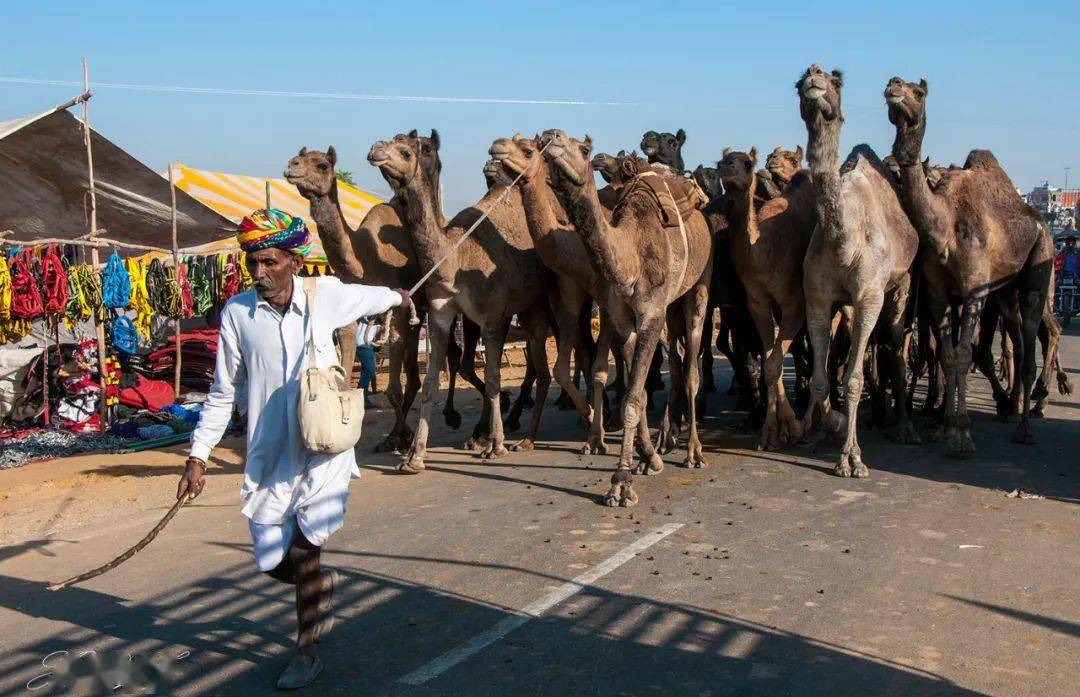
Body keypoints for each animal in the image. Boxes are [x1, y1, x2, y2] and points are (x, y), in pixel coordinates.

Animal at [369, 129, 557, 473]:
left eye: (408, 151)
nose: (375, 149)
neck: (454, 258)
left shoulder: (493, 318)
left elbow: (494, 379)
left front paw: (495, 445)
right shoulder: (442, 315)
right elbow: (431, 384)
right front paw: (415, 456)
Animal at [721, 148, 812, 451]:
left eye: (748, 163)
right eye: (722, 159)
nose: (725, 166)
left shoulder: (794, 303)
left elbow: (775, 361)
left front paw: (793, 426)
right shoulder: (757, 303)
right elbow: (770, 362)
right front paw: (773, 431)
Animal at [794, 63, 920, 477]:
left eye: (837, 82)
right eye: (798, 83)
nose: (814, 74)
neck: (843, 241)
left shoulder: (869, 296)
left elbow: (852, 378)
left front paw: (852, 459)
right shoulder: (817, 298)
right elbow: (821, 380)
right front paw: (828, 424)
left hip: (900, 286)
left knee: (895, 346)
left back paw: (904, 425)